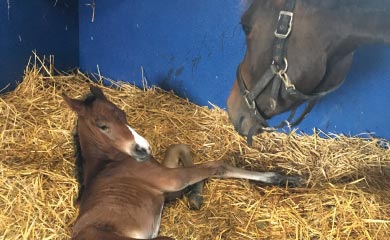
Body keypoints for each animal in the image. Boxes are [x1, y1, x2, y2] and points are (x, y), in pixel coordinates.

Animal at [63, 85, 302, 239]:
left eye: (123, 114)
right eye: (102, 125)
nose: (143, 148)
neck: (109, 162)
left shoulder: (166, 189)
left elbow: (180, 148)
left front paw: (195, 194)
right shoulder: (169, 179)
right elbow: (216, 166)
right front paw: (282, 177)